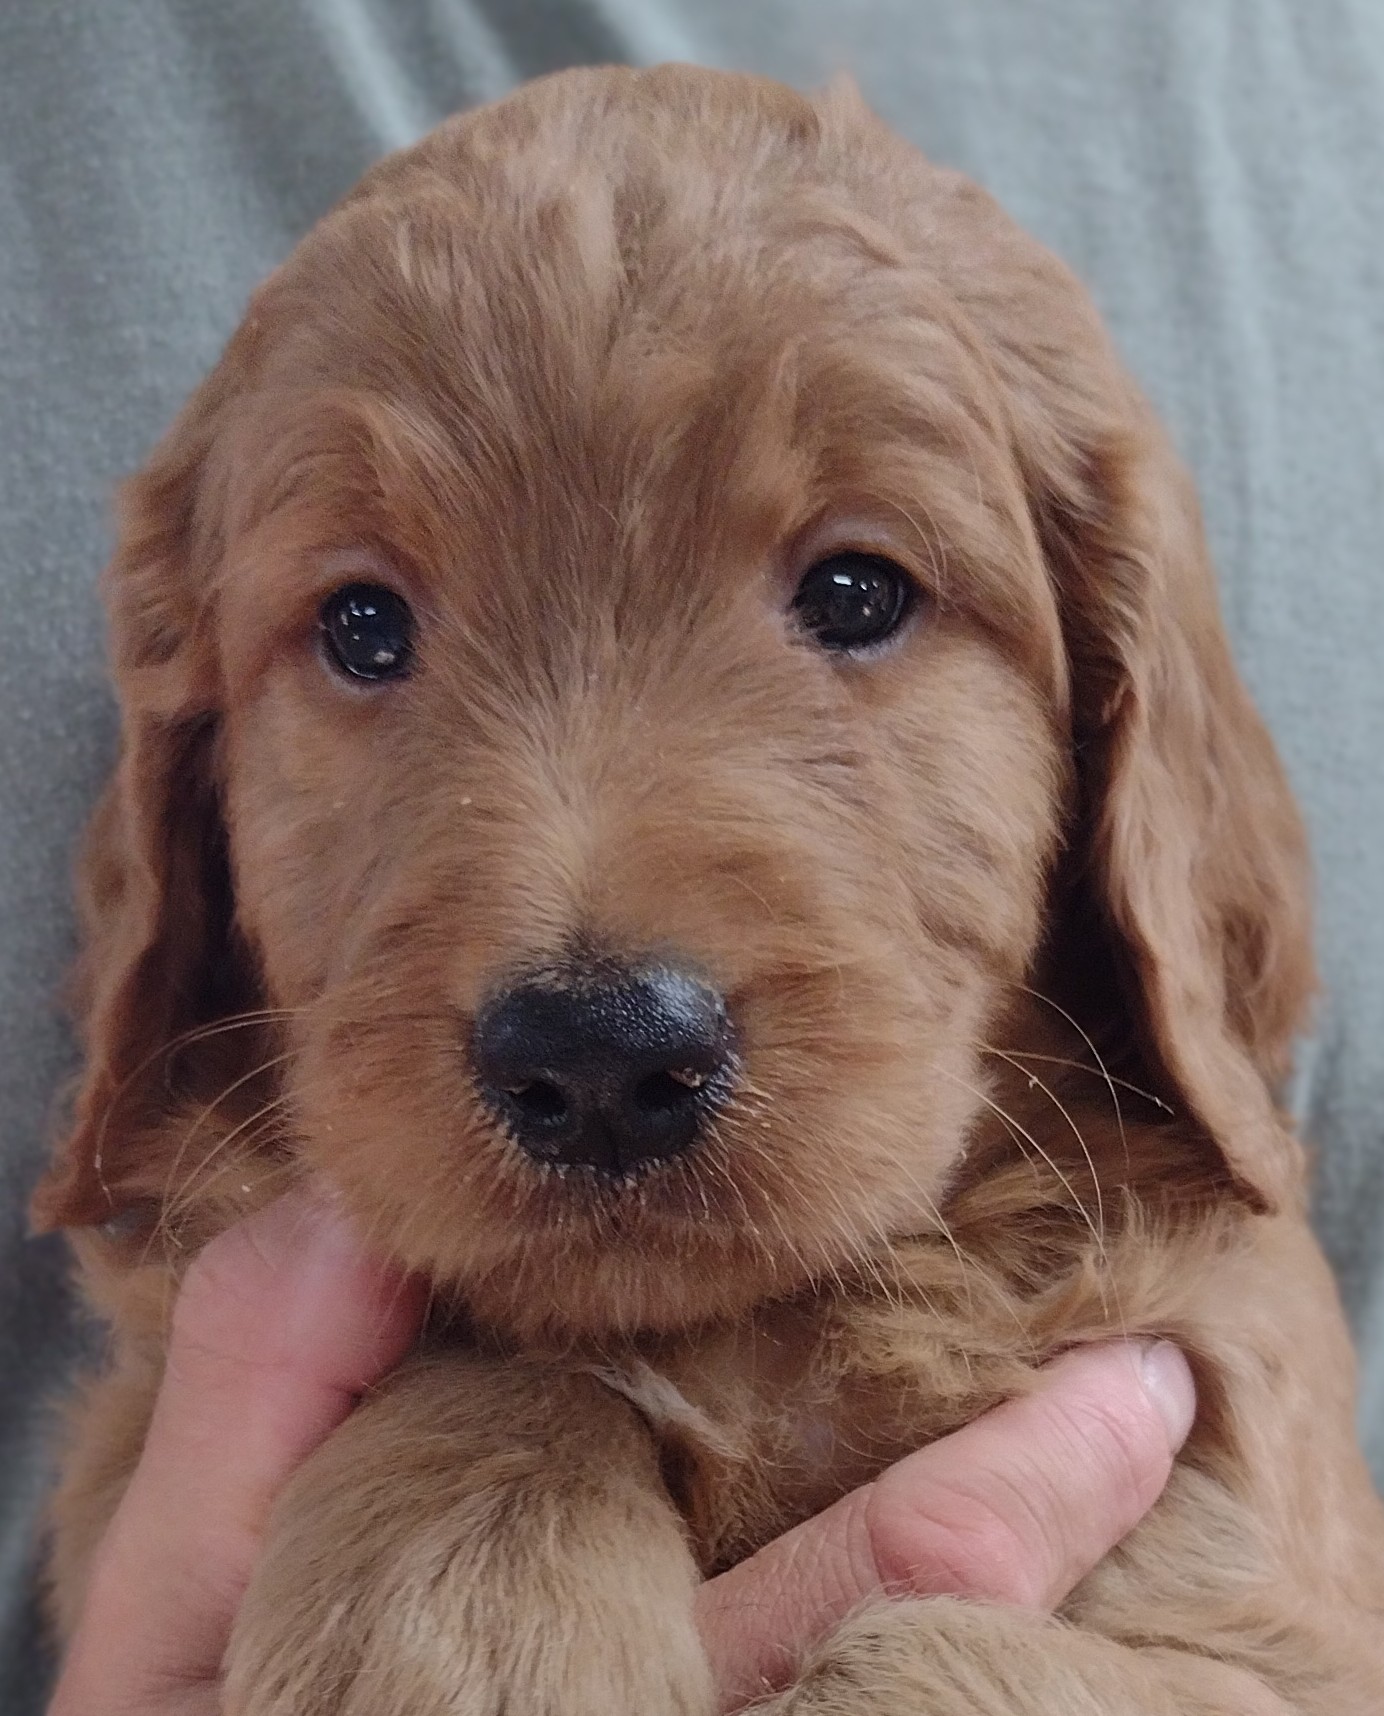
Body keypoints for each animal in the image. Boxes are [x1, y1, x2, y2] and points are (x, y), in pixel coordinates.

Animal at [32, 60, 1384, 1709]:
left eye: (857, 592)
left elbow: (907, 1654)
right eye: (360, 626)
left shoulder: (1258, 1581)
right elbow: (500, 1361)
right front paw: (454, 1630)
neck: (745, 1342)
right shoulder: (131, 1435)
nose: (599, 1055)